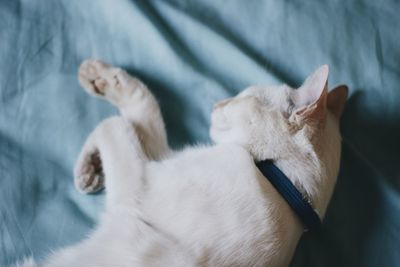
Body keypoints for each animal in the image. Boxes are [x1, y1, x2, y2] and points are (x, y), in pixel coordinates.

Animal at [14, 61, 346, 267]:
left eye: (240, 98)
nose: (215, 104)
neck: (286, 185)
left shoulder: (140, 183)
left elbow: (115, 124)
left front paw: (87, 167)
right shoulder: (161, 159)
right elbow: (144, 108)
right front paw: (90, 168)